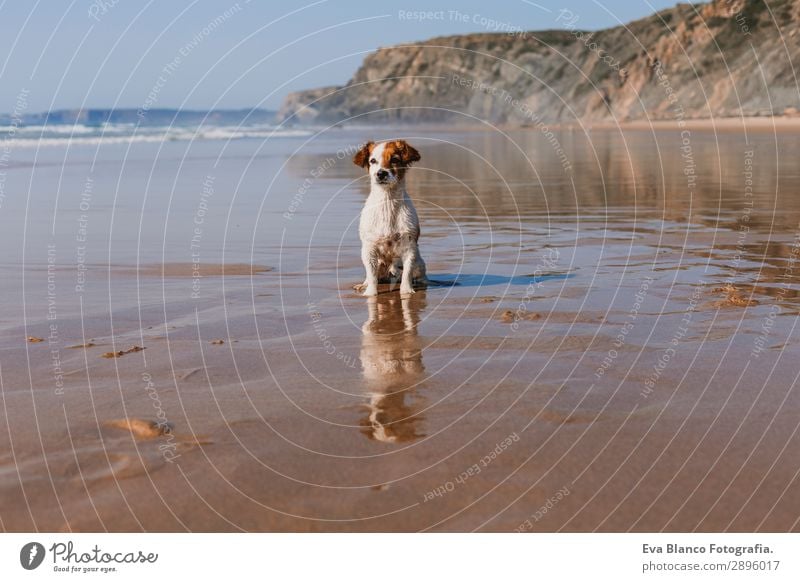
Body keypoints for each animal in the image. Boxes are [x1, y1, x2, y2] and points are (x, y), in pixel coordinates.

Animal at [352, 139, 428, 298]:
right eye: (372, 161)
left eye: (394, 160)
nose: (381, 173)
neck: (388, 202)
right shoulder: (369, 249)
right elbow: (372, 276)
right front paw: (370, 292)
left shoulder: (409, 247)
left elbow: (407, 273)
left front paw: (407, 291)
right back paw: (364, 284)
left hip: (419, 263)